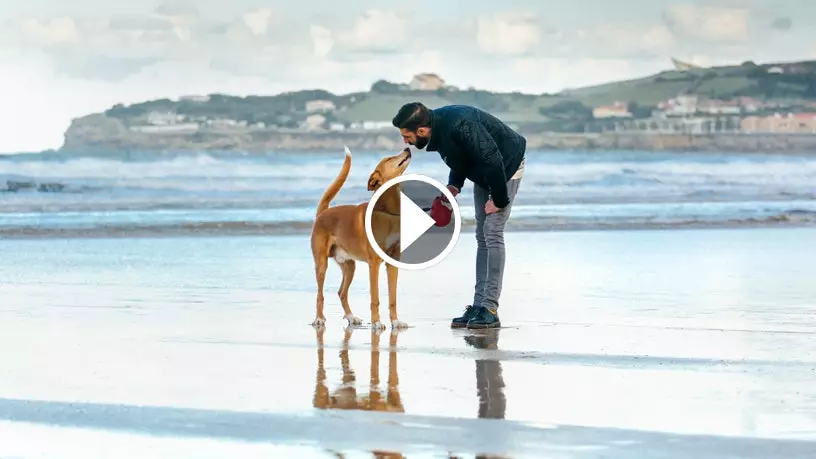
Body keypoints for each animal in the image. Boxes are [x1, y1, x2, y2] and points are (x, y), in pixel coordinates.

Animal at [312, 147, 414, 330]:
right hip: (321, 264)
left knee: (342, 292)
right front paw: (376, 322)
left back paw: (351, 317)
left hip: (349, 266)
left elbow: (393, 298)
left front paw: (395, 321)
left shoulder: (393, 262)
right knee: (320, 295)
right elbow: (375, 298)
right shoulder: (374, 263)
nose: (407, 148)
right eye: (389, 158)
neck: (388, 210)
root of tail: (323, 213)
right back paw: (319, 318)